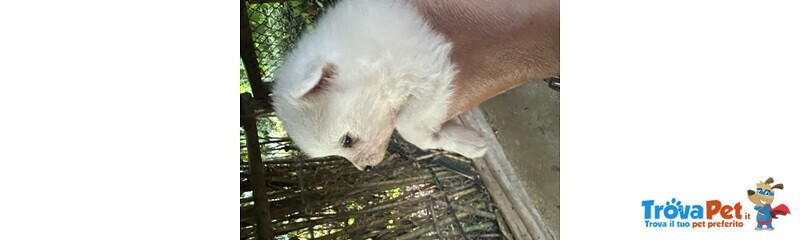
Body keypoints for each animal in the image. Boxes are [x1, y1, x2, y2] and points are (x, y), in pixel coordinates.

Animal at [274, 0, 488, 171]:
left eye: (347, 141)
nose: (366, 168)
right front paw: (467, 143)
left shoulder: (427, 72)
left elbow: (407, 128)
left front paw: (435, 138)